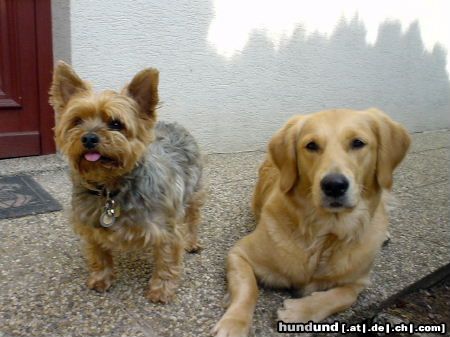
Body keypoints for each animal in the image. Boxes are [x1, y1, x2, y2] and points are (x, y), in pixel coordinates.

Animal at [214, 108, 412, 336]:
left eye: (358, 143)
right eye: (311, 145)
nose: (334, 185)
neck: (326, 235)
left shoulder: (359, 281)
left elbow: (343, 296)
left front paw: (299, 311)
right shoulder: (239, 254)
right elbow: (248, 288)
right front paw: (234, 323)